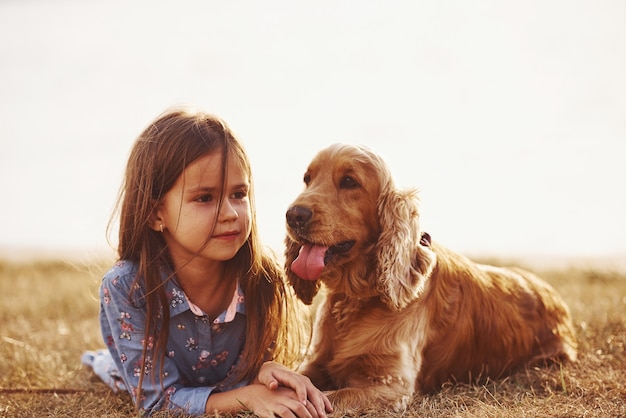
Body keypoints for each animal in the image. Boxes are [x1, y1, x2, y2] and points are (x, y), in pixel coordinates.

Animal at [282, 144, 576, 412]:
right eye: (307, 179)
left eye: (349, 181)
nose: (293, 215)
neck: (356, 299)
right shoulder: (315, 361)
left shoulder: (391, 386)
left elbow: (332, 398)